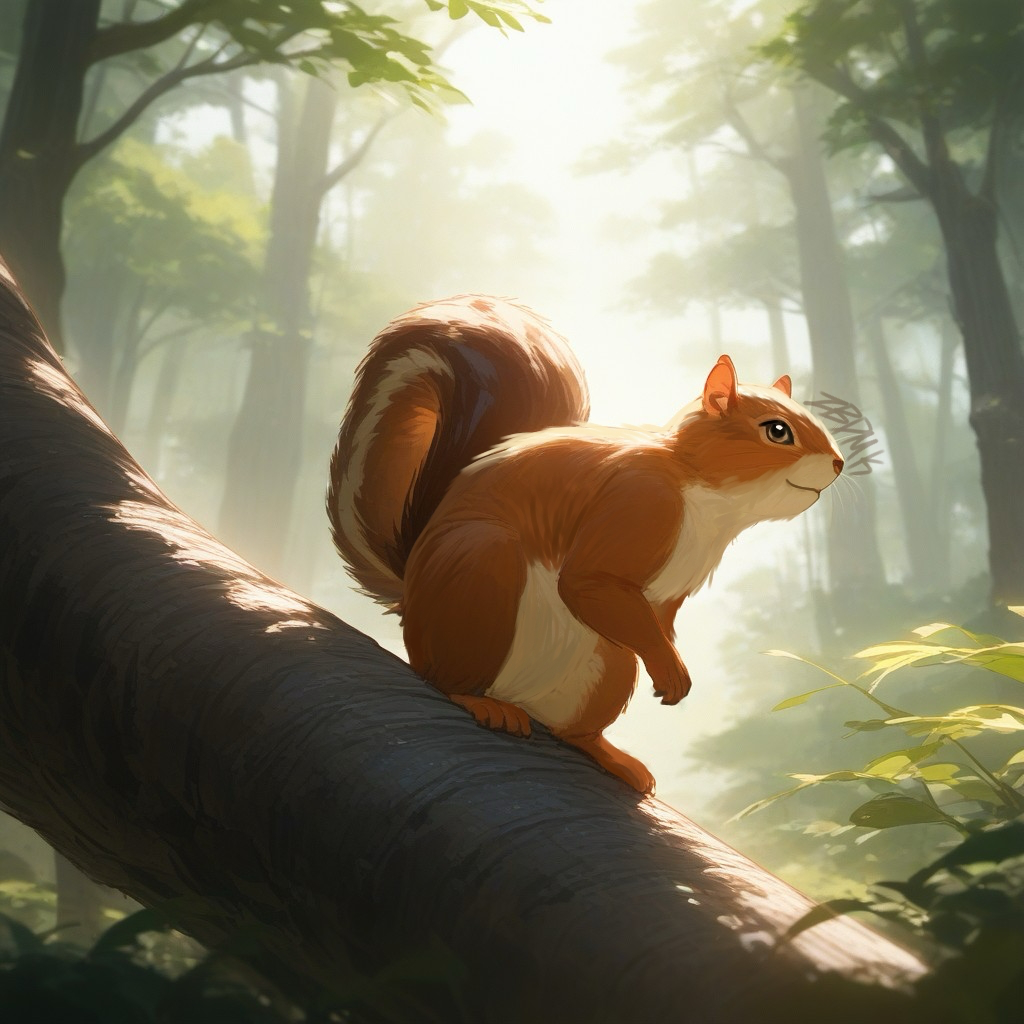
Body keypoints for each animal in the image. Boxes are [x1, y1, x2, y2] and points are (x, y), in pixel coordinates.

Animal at [328, 295, 843, 794]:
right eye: (777, 430)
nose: (839, 464)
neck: (704, 493)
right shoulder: (636, 504)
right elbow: (585, 582)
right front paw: (670, 667)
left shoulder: (668, 592)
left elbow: (654, 619)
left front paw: (669, 662)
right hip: (481, 578)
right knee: (439, 675)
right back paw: (479, 701)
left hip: (608, 667)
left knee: (573, 729)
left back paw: (614, 758)